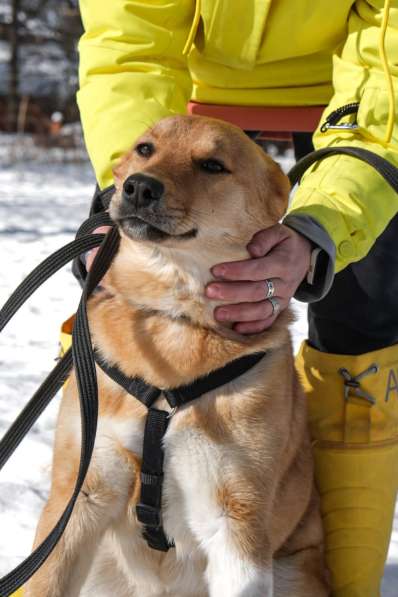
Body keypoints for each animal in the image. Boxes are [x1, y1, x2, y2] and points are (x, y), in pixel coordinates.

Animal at [26, 114, 328, 592]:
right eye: (145, 149)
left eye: (213, 165)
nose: (139, 187)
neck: (173, 316)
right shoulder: (79, 495)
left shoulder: (236, 521)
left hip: (295, 572)